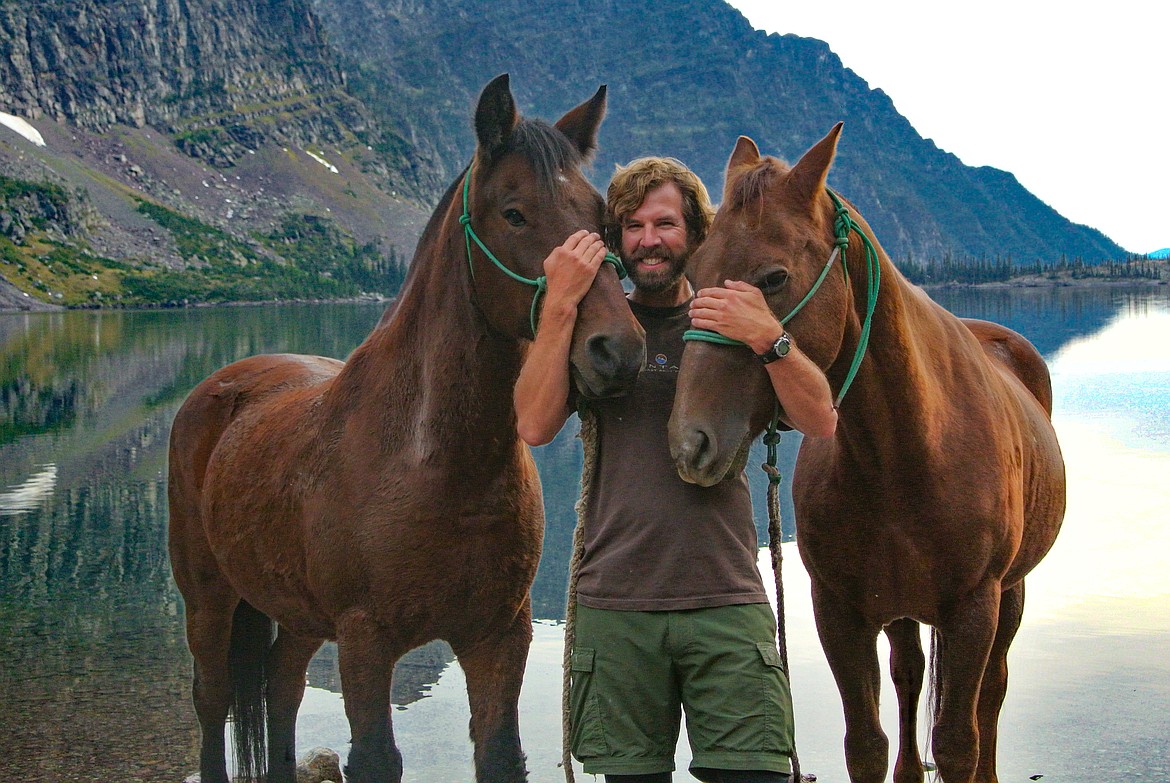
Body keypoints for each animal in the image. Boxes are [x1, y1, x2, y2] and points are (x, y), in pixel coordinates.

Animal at [166, 74, 645, 781]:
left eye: (601, 216)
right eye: (514, 213)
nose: (617, 350)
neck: (435, 464)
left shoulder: (500, 636)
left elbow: (498, 750)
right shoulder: (366, 643)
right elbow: (374, 756)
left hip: (297, 616)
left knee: (281, 690)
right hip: (208, 598)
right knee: (213, 699)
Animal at [664, 125, 1067, 777]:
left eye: (773, 277)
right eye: (695, 272)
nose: (689, 439)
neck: (905, 454)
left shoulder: (973, 610)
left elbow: (958, 742)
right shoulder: (840, 612)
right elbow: (868, 744)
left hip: (1010, 596)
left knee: (993, 692)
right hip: (902, 611)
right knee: (908, 677)